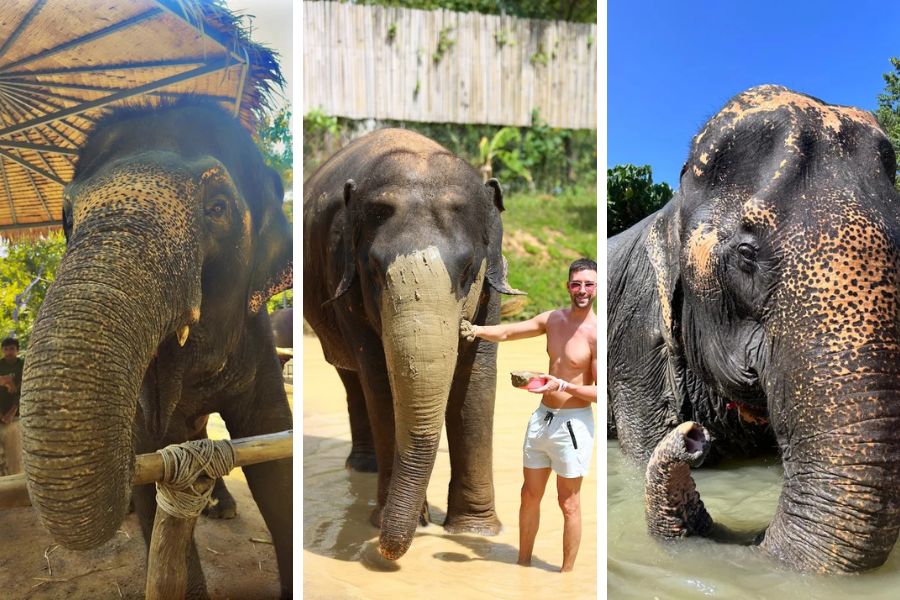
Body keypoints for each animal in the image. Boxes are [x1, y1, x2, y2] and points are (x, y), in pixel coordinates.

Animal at [19, 101, 293, 597]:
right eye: (67, 219)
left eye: (218, 208)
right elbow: (156, 459)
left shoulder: (259, 338)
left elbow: (273, 449)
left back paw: (221, 506)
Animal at [303, 128, 523, 560]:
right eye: (373, 270)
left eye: (468, 270)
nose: (387, 553)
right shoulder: (343, 271)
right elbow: (377, 379)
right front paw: (385, 522)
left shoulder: (493, 285)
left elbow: (476, 382)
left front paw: (476, 531)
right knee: (352, 379)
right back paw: (363, 468)